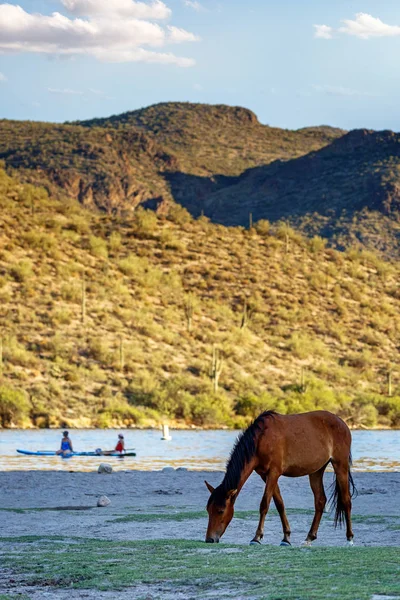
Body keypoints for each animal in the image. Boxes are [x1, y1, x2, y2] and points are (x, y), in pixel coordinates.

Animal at [206, 410, 356, 548]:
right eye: (208, 509)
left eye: (220, 511)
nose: (209, 539)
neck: (261, 439)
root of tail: (342, 423)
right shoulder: (265, 475)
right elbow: (280, 504)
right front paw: (286, 538)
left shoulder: (274, 473)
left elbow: (264, 504)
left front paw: (256, 537)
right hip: (316, 471)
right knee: (320, 501)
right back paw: (309, 537)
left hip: (340, 466)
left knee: (346, 500)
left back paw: (349, 538)